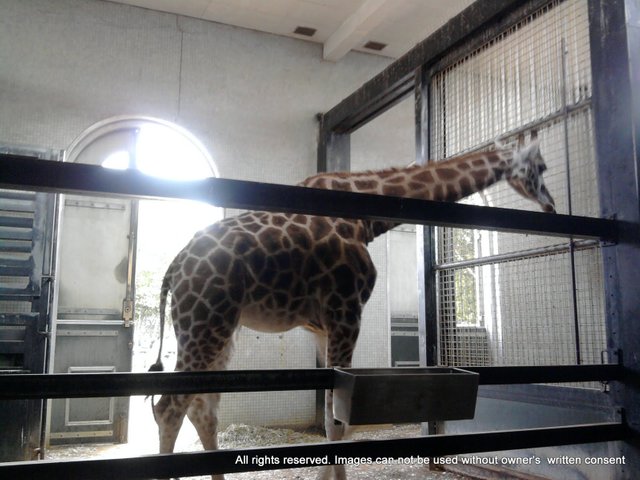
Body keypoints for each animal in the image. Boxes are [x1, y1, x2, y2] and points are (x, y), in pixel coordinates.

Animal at [149, 132, 552, 480]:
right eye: (542, 166)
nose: (551, 204)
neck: (367, 217)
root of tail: (173, 271)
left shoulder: (321, 326)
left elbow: (333, 419)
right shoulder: (347, 310)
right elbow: (338, 420)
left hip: (220, 328)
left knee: (202, 408)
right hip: (205, 323)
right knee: (169, 407)